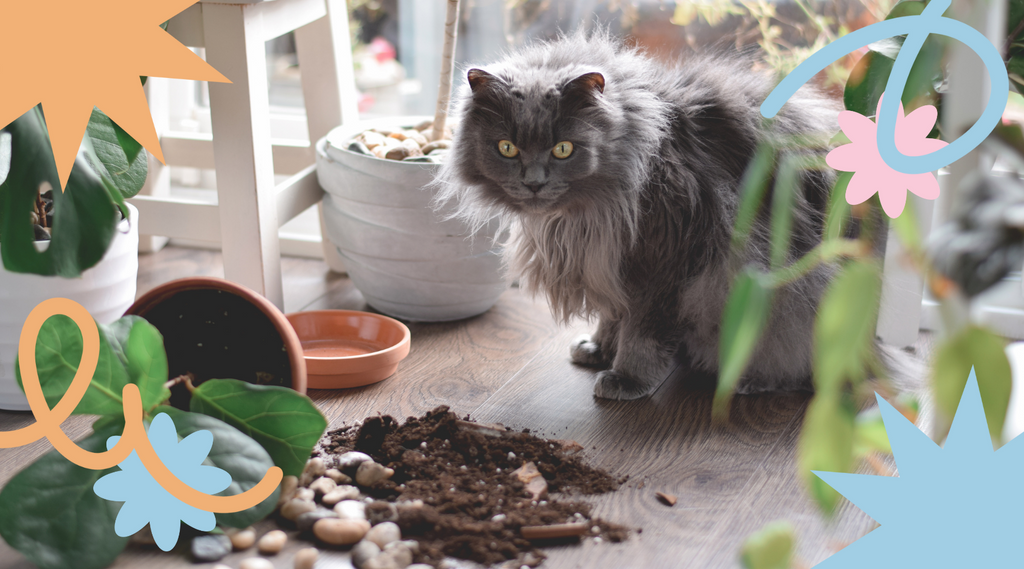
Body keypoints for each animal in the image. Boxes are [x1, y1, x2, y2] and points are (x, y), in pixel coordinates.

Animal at [432, 31, 872, 399]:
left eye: (563, 149)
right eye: (507, 148)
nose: (534, 183)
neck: (585, 215)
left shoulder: (664, 263)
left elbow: (642, 334)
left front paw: (627, 377)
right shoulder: (608, 262)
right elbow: (613, 314)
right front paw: (598, 348)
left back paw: (751, 381)